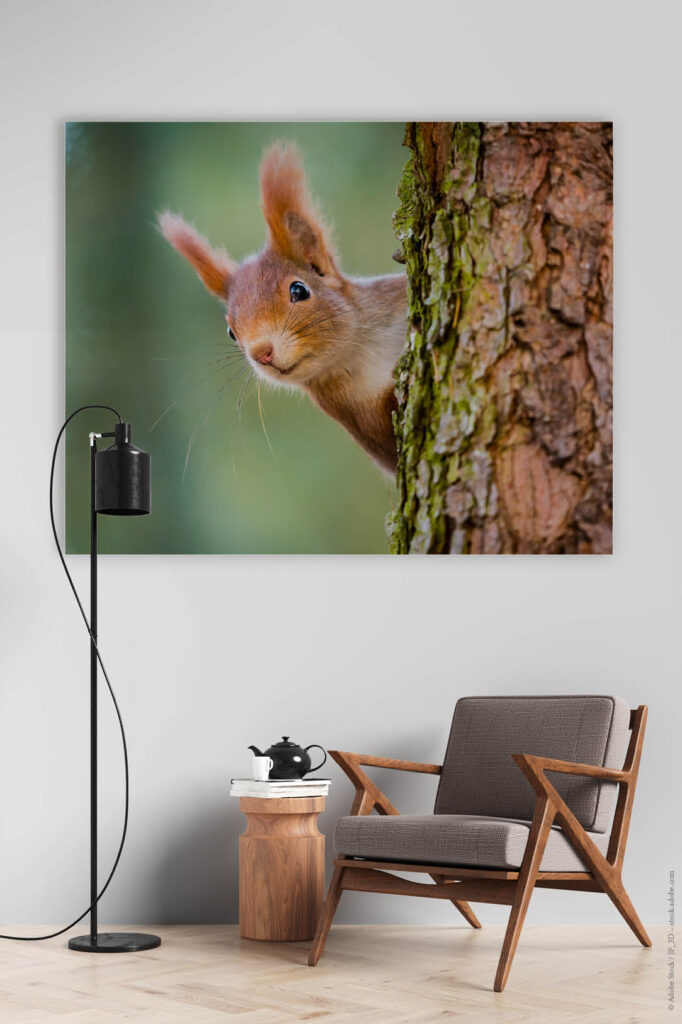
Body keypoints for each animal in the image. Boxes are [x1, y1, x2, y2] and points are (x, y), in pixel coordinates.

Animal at [158, 144, 407, 473]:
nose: (261, 353)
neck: (363, 350)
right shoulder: (360, 419)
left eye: (299, 290)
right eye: (231, 332)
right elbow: (391, 444)